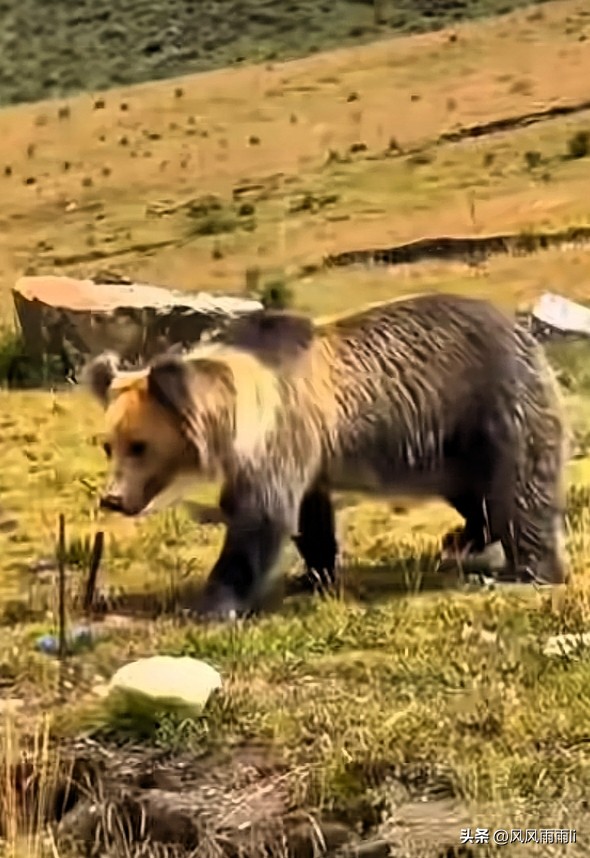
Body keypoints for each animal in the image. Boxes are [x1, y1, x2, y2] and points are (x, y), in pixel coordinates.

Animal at [85, 291, 570, 619]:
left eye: (140, 445)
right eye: (109, 443)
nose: (113, 498)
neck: (237, 420)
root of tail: (523, 332)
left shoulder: (281, 433)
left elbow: (261, 517)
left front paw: (212, 604)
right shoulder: (304, 451)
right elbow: (309, 517)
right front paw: (312, 574)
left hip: (491, 405)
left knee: (520, 489)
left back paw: (531, 569)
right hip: (453, 444)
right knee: (473, 492)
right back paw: (463, 537)